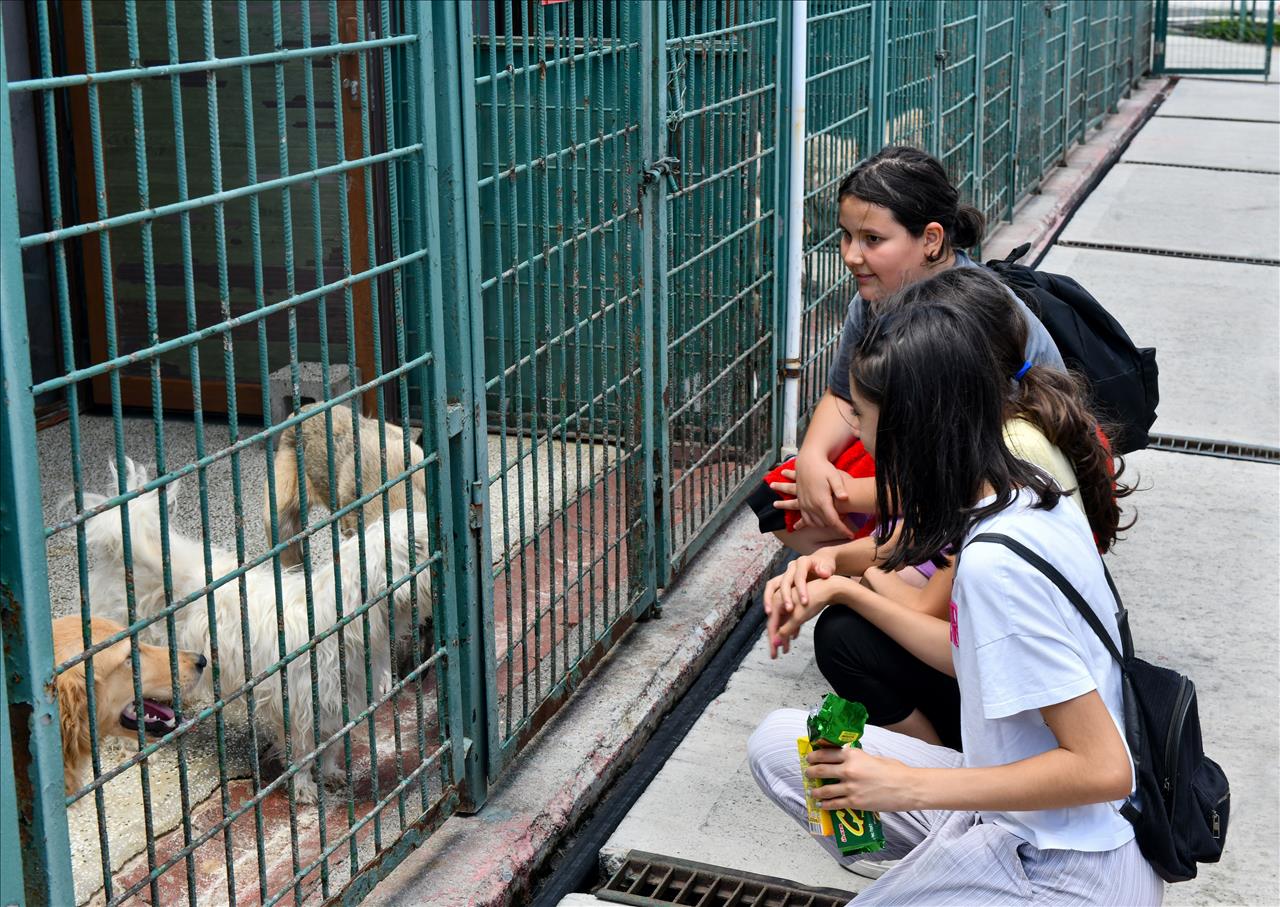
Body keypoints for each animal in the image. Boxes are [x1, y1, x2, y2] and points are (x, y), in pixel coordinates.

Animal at [86, 460, 435, 798]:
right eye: (419, 544)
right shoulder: (302, 707)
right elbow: (304, 752)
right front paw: (304, 788)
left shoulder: (341, 700)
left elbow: (331, 744)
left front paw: (331, 772)